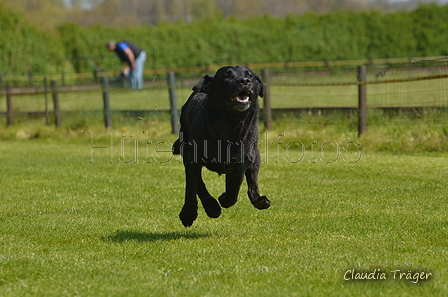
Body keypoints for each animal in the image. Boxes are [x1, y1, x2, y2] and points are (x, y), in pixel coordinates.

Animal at [172, 65, 270, 227]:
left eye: (250, 75)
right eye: (227, 76)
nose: (245, 81)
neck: (231, 123)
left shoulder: (241, 162)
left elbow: (233, 191)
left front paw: (224, 198)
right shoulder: (191, 158)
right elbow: (192, 186)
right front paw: (188, 214)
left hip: (255, 156)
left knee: (253, 182)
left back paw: (259, 200)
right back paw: (211, 207)